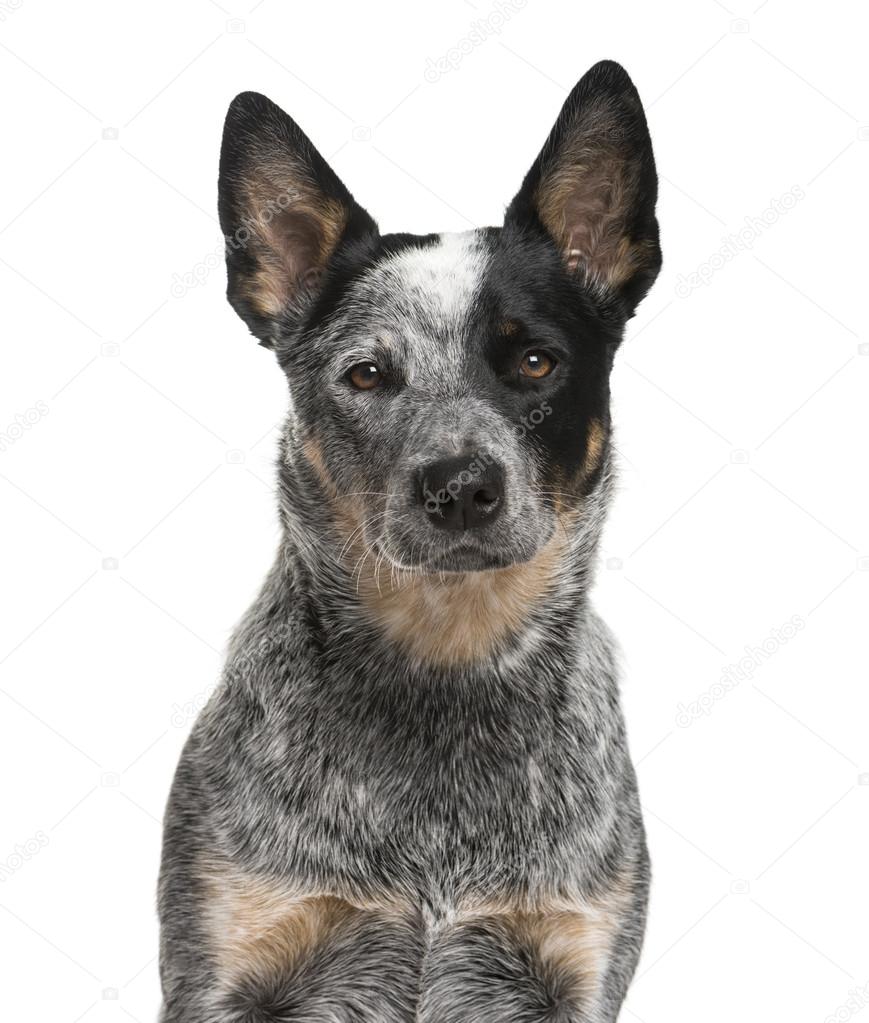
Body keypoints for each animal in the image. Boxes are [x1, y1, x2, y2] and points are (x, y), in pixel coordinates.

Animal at [157, 59, 659, 1018]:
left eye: (534, 361)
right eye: (366, 374)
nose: (460, 487)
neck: (446, 661)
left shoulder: (576, 962)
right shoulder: (223, 964)